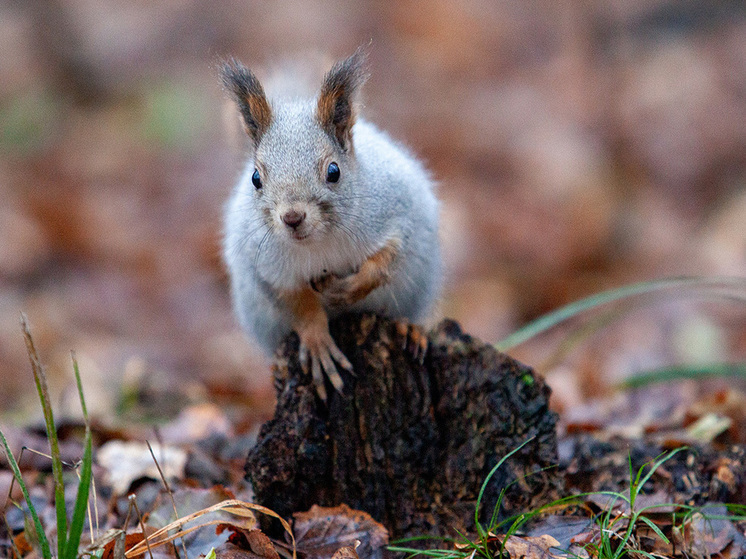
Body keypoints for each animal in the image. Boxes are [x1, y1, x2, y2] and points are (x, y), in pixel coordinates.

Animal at [221, 47, 442, 398]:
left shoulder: (399, 214)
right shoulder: (267, 268)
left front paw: (347, 289)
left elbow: (385, 259)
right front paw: (317, 342)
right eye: (256, 178)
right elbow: (298, 304)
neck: (320, 241)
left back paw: (410, 328)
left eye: (334, 171)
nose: (292, 217)